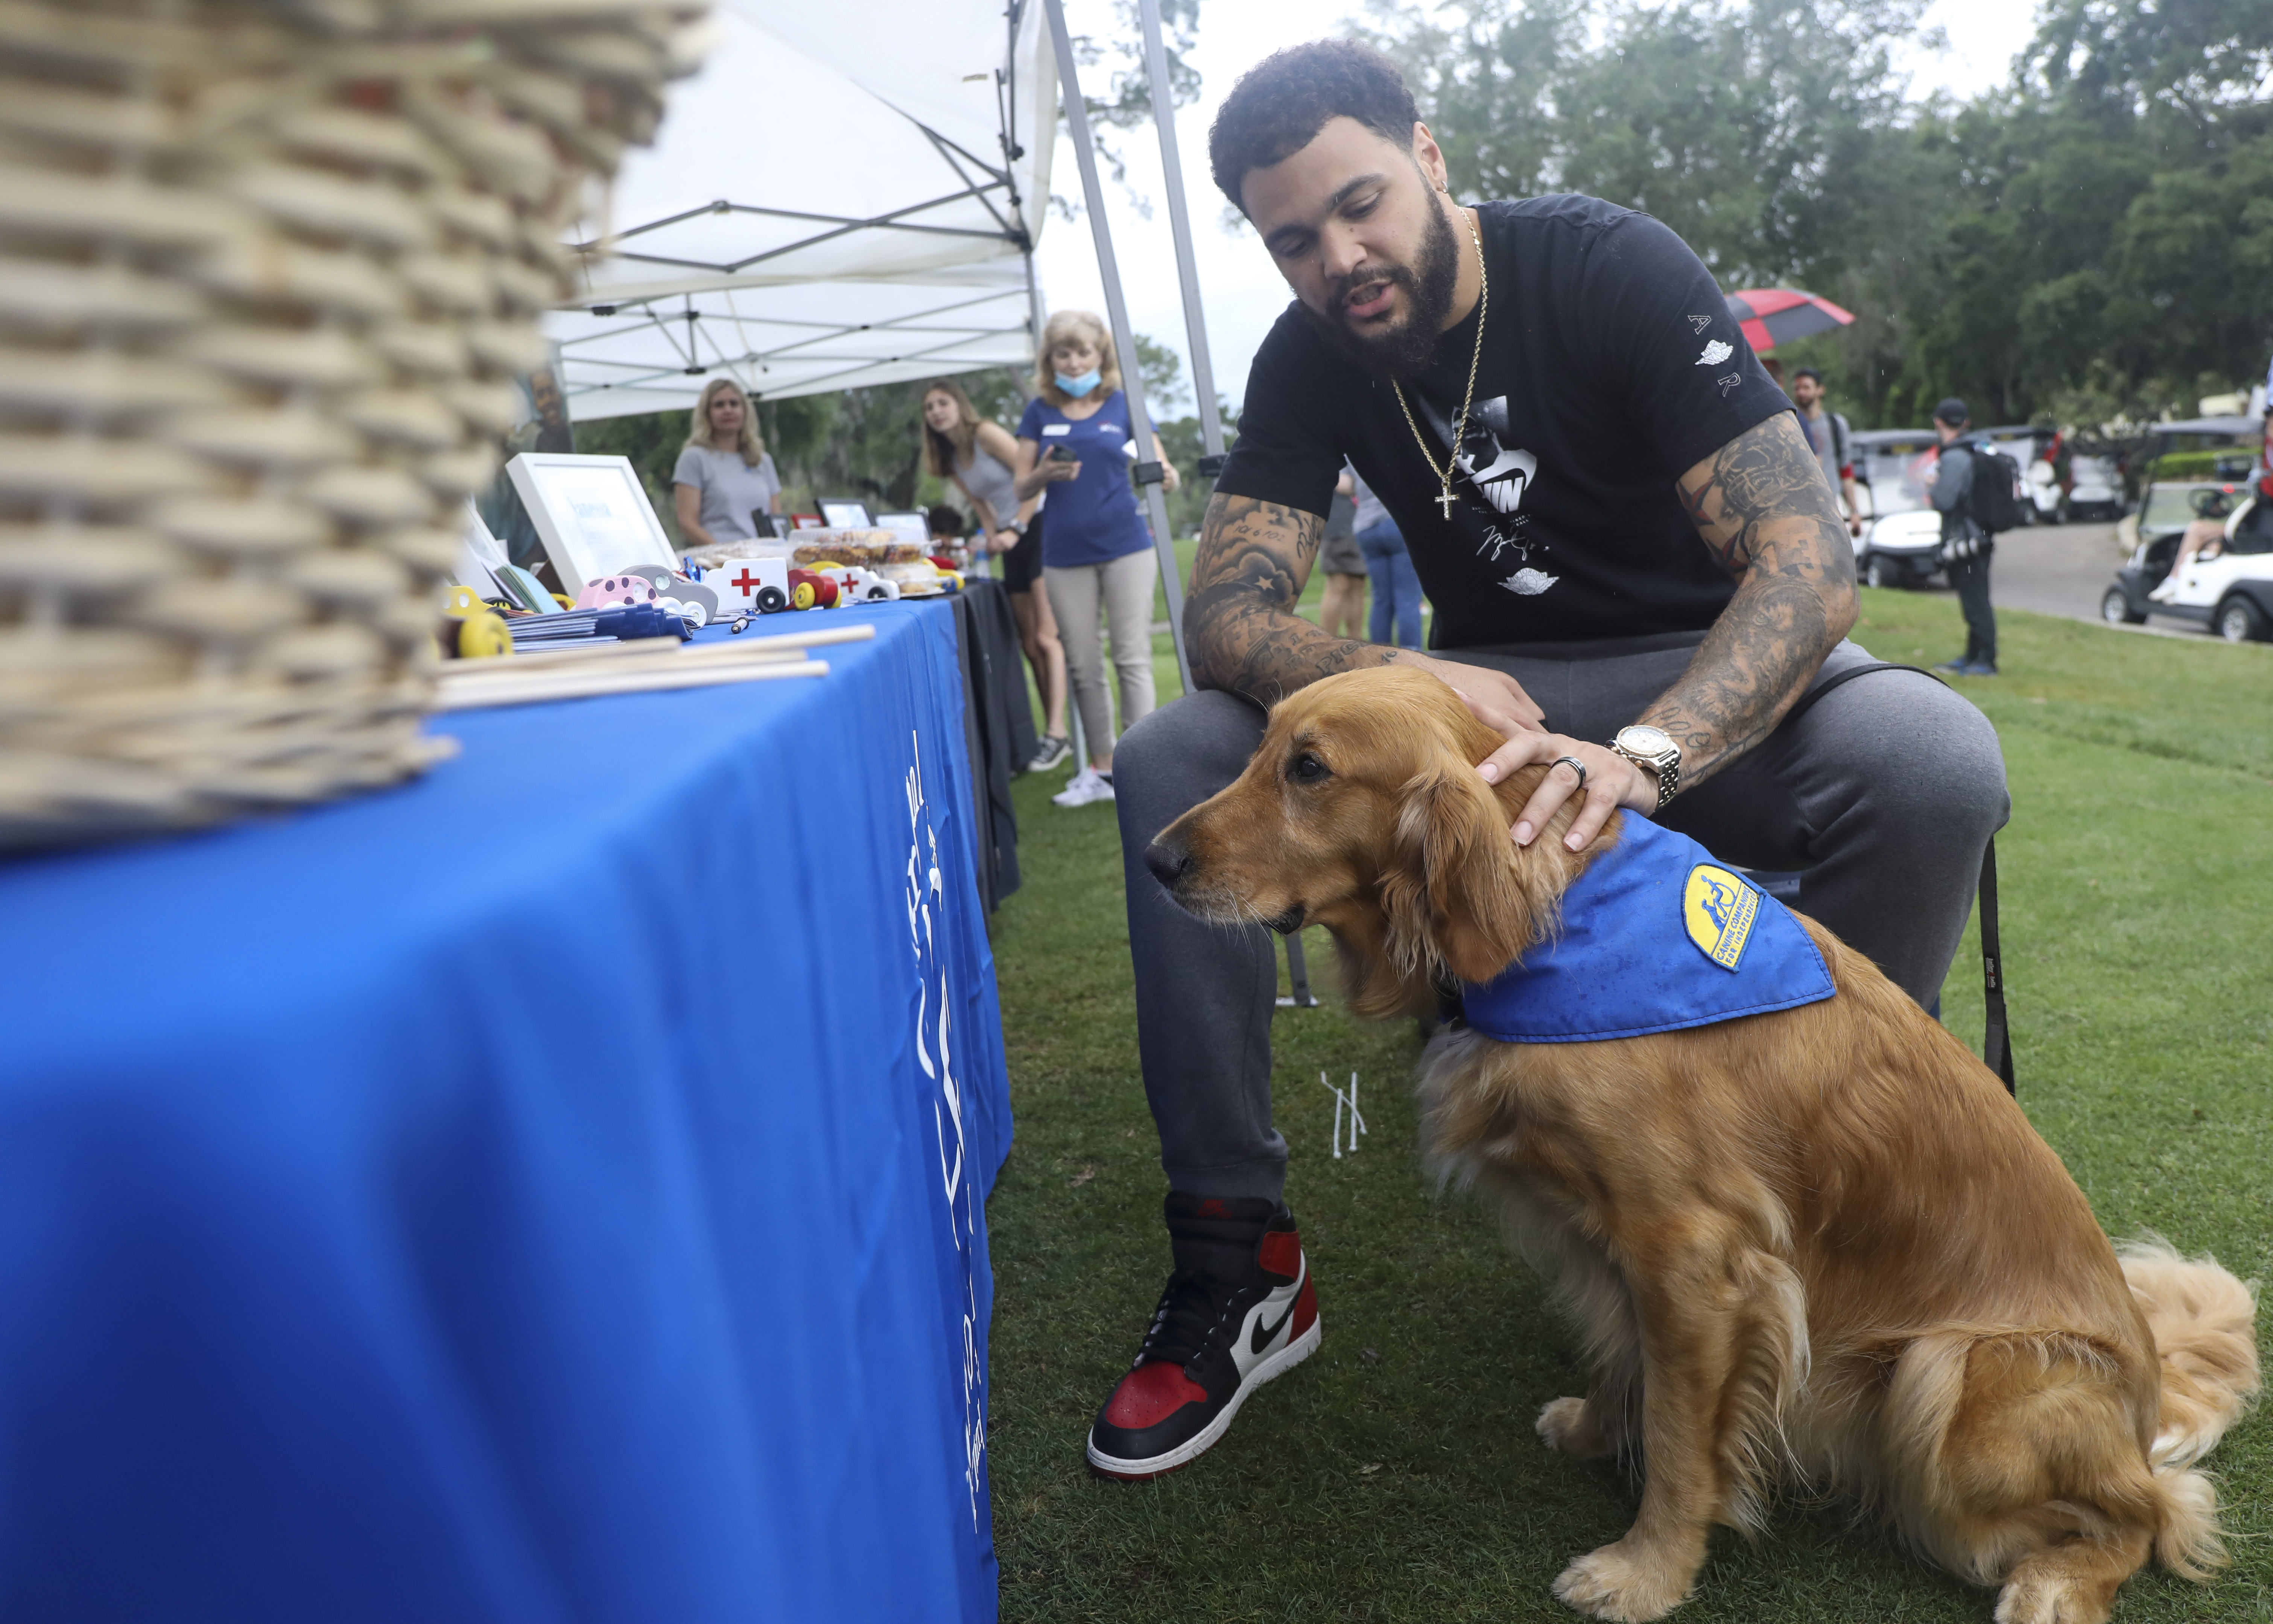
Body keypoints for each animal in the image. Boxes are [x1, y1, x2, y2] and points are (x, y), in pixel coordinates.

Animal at [1154, 664, 2255, 1619]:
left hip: (1951, 1376)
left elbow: (1686, 1440)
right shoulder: (1614, 1240)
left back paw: (2055, 1583)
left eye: (1310, 769)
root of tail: (2145, 1407)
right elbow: (1625, 1356)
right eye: (1263, 749)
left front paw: (1645, 1573)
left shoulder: (1697, 1259)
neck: (1558, 917)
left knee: (2153, 1510)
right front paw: (1599, 1428)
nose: (1158, 861)